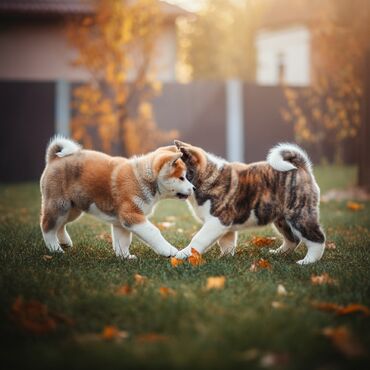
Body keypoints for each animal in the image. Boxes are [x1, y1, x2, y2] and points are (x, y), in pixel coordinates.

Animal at [173, 140, 324, 264]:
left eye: (180, 175)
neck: (205, 176)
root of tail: (302, 167)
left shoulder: (217, 221)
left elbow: (198, 239)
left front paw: (183, 254)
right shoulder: (224, 226)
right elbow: (227, 243)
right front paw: (225, 259)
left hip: (298, 215)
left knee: (317, 239)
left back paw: (307, 261)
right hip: (282, 220)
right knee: (293, 239)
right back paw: (278, 253)